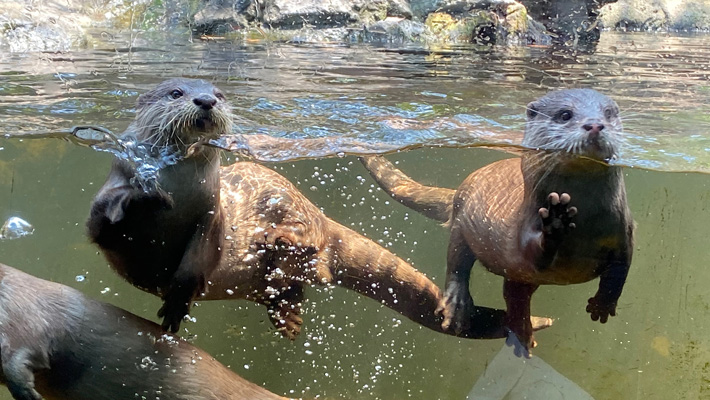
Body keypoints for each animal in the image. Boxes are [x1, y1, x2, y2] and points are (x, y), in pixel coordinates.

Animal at [87, 77, 229, 332]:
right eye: (176, 93)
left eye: (219, 95)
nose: (206, 100)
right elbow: (102, 226)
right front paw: (143, 196)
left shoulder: (210, 214)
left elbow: (196, 263)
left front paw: (176, 306)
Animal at [364, 89, 636, 354]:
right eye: (565, 114)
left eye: (608, 113)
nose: (595, 125)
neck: (587, 224)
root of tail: (457, 192)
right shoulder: (526, 224)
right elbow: (531, 254)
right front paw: (555, 223)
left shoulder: (624, 231)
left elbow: (621, 269)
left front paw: (602, 305)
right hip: (462, 223)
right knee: (458, 262)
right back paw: (461, 306)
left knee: (514, 294)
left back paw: (522, 333)